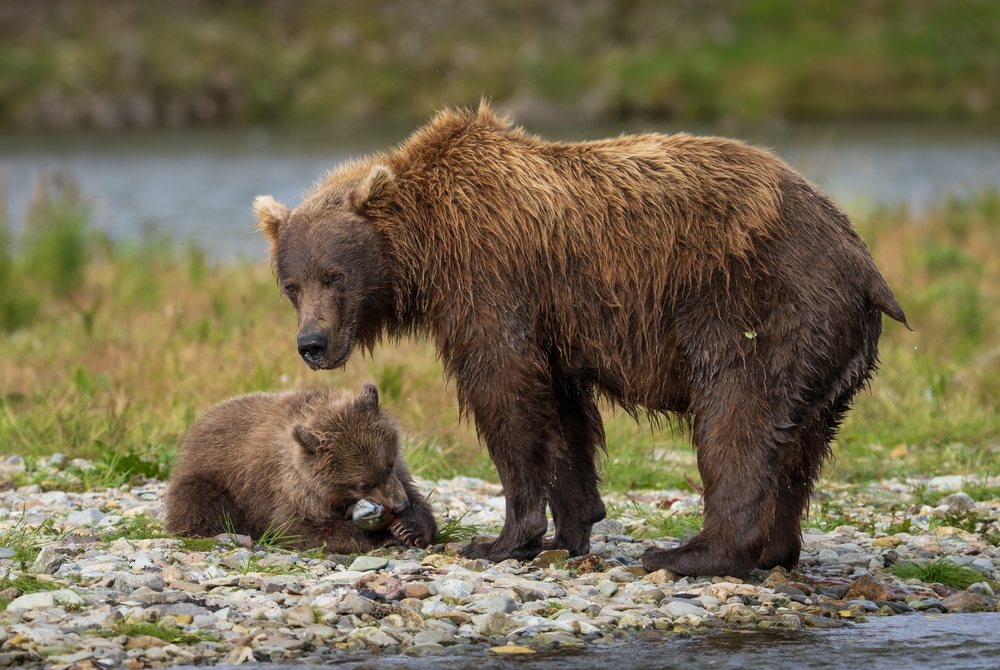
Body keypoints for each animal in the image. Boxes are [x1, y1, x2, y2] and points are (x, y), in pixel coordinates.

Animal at [164, 384, 437, 552]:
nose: (399, 505)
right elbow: (301, 528)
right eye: (364, 484)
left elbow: (416, 496)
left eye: (388, 464)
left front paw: (410, 528)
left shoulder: (400, 474)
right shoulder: (287, 488)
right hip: (211, 481)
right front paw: (384, 535)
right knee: (204, 507)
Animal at [252, 103, 907, 576]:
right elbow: (563, 414)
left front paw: (502, 538)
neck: (426, 249)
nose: (312, 343)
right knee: (801, 444)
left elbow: (506, 394)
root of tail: (862, 259)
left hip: (763, 306)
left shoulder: (492, 281)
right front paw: (572, 526)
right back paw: (775, 549)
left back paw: (691, 553)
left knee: (738, 418)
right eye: (291, 284)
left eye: (335, 275)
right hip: (825, 347)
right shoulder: (554, 322)